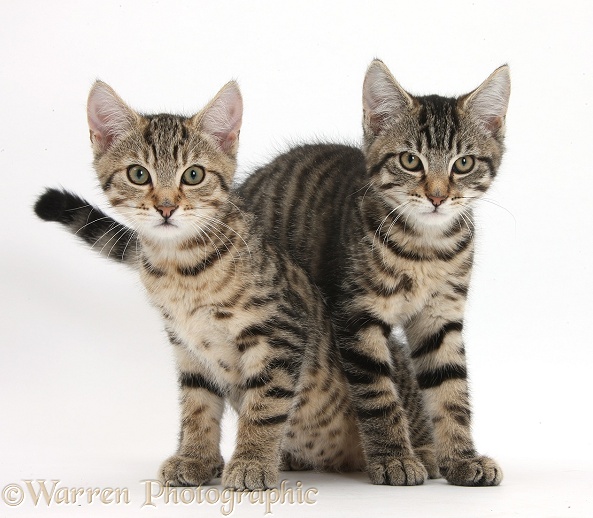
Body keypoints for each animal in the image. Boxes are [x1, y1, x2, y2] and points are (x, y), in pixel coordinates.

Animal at [34, 80, 438, 488]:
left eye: (193, 175)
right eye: (138, 174)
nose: (166, 207)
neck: (182, 269)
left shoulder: (281, 333)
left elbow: (266, 405)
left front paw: (251, 463)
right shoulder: (187, 347)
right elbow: (197, 407)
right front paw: (195, 458)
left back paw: (420, 455)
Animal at [238, 61, 512, 488]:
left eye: (463, 164)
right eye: (410, 161)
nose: (437, 196)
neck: (424, 249)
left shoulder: (441, 317)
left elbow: (451, 390)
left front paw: (463, 459)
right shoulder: (355, 315)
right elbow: (378, 393)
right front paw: (394, 458)